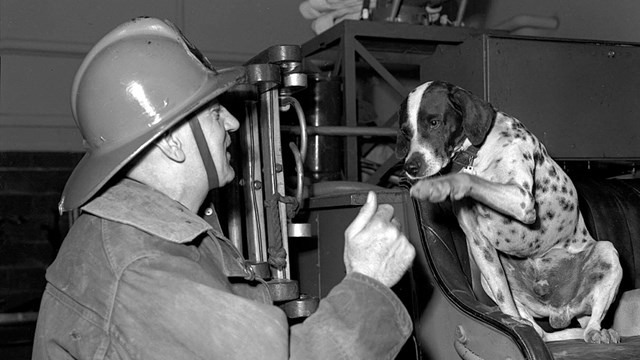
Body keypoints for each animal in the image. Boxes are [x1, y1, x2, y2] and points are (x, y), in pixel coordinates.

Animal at [398, 81, 624, 344]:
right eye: (406, 131)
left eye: (434, 122)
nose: (410, 167)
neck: (476, 153)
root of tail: (561, 312)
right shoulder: (480, 244)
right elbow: (506, 304)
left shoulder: (522, 199)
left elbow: (466, 178)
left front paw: (441, 185)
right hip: (491, 278)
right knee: (535, 326)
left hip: (607, 253)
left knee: (593, 323)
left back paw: (601, 333)